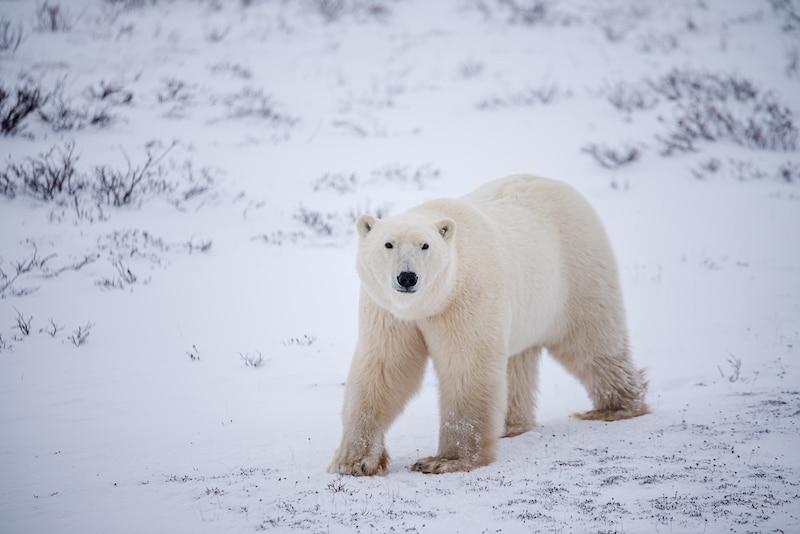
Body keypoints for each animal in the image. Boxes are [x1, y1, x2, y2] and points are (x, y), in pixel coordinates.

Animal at [328, 175, 648, 478]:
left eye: (425, 245)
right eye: (388, 243)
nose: (407, 277)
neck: (431, 303)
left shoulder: (466, 297)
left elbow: (466, 367)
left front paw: (443, 460)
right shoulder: (388, 312)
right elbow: (384, 367)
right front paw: (354, 461)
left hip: (576, 272)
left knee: (592, 340)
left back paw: (616, 407)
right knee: (517, 362)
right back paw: (510, 424)